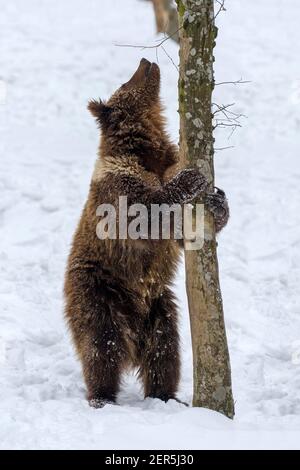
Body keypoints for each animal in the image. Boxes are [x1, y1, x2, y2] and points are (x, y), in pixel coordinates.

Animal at [62, 57, 227, 408]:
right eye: (126, 83)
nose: (145, 60)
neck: (146, 153)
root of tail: (133, 330)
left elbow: (183, 231)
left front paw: (219, 200)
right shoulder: (118, 188)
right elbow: (146, 215)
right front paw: (190, 179)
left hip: (159, 306)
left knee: (165, 350)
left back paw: (166, 395)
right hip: (98, 290)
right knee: (102, 345)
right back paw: (102, 396)